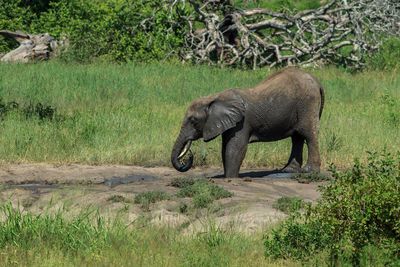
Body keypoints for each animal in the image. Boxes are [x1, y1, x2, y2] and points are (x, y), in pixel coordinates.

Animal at [171, 68, 324, 179]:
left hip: (307, 104)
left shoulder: (242, 122)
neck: (213, 98)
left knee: (308, 134)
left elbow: (235, 148)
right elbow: (225, 148)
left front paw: (231, 178)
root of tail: (316, 80)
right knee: (297, 137)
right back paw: (288, 170)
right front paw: (228, 177)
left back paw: (309, 172)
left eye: (193, 121)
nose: (189, 155)